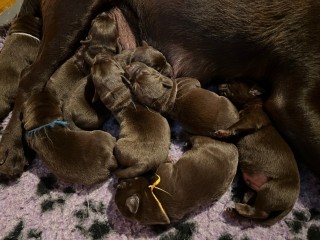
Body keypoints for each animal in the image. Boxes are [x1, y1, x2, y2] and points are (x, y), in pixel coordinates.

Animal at [212, 80, 300, 225]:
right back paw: (236, 211)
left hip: (270, 190)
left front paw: (223, 132)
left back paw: (239, 208)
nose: (219, 83)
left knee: (261, 213)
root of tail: (292, 203)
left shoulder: (251, 120)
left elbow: (236, 125)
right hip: (253, 191)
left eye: (232, 83)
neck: (253, 104)